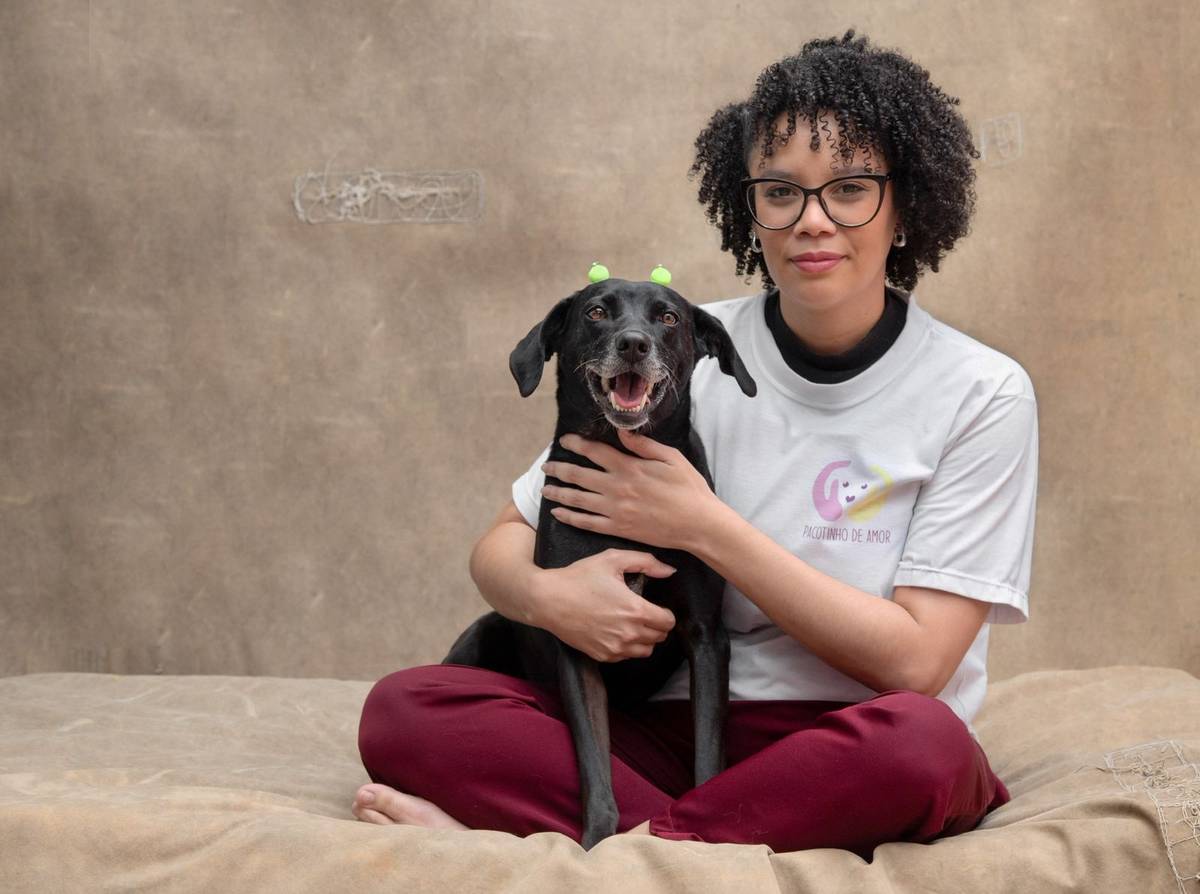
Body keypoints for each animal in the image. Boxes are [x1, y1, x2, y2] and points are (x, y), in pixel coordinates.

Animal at [444, 275, 756, 848]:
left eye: (668, 318)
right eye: (595, 312)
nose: (633, 343)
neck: (627, 466)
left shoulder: (705, 635)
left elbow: (708, 750)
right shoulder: (576, 632)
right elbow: (594, 761)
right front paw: (597, 840)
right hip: (480, 635)